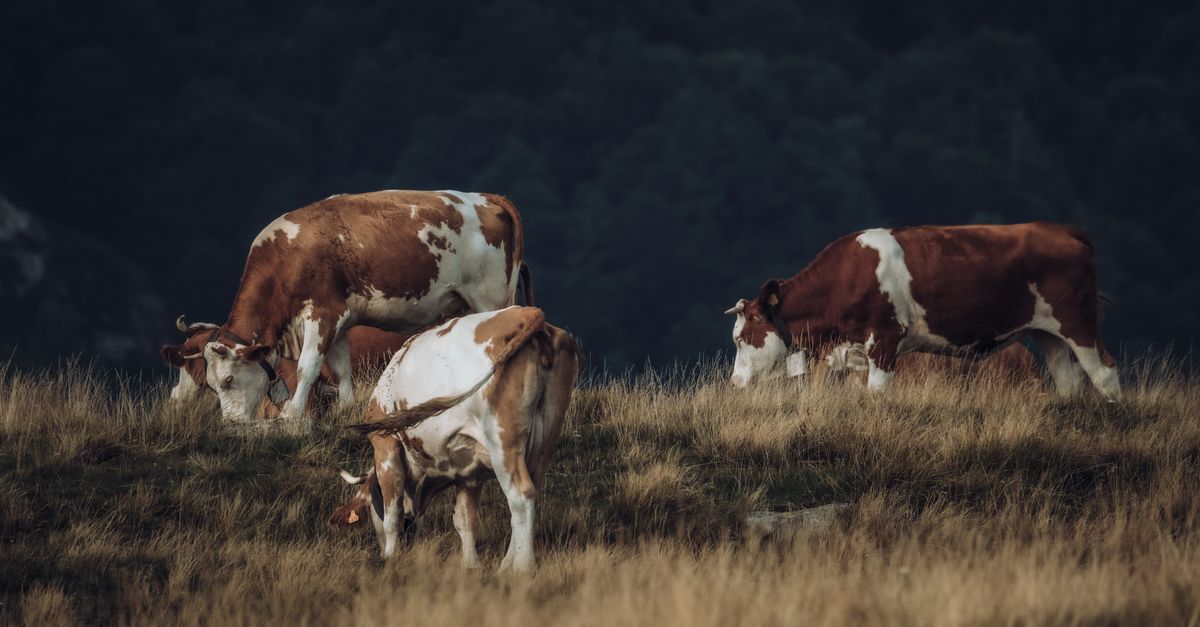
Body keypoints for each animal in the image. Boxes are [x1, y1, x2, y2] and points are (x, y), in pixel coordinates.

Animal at [199, 190, 530, 426]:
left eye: (228, 380)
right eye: (212, 386)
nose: (231, 424)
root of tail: (485, 197)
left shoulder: (322, 314)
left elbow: (308, 366)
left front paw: (291, 416)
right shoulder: (340, 320)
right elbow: (342, 368)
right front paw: (345, 410)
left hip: (487, 296)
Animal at [330, 306, 579, 573]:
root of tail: (525, 312)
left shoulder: (386, 448)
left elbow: (392, 515)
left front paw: (389, 557)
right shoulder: (469, 471)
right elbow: (464, 519)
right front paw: (471, 565)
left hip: (503, 443)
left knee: (521, 497)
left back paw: (523, 567)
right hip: (545, 439)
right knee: (531, 494)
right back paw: (505, 564)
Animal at [726, 223, 1120, 399]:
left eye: (742, 338)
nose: (734, 383)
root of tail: (1062, 230)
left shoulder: (885, 341)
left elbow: (878, 394)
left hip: (1078, 323)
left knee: (1104, 372)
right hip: (1047, 333)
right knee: (1068, 383)